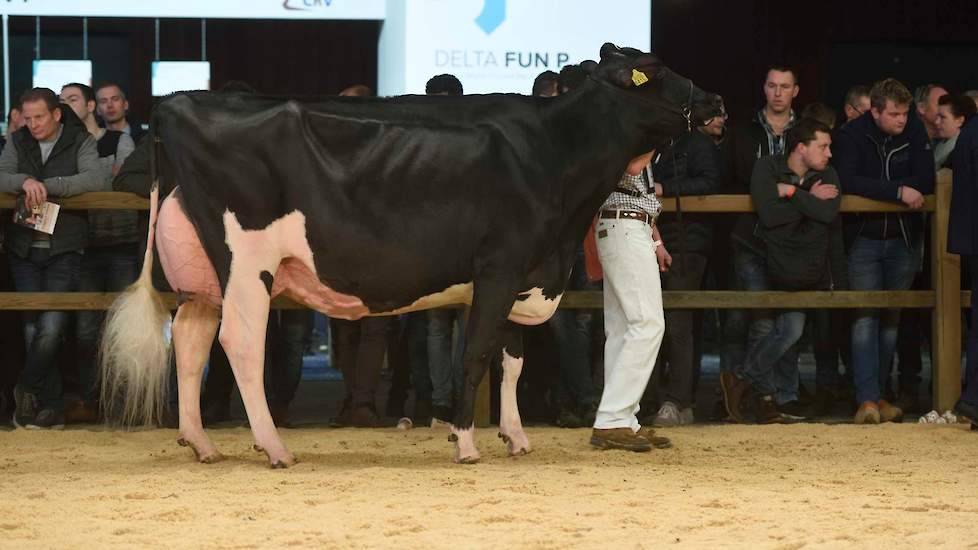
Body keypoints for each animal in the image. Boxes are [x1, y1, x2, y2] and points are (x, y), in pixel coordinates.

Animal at [99, 43, 720, 468]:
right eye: (654, 72)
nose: (715, 100)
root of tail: (177, 103)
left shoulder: (521, 272)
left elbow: (512, 360)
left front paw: (515, 437)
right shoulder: (499, 267)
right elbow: (475, 355)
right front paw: (465, 442)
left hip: (205, 271)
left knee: (190, 339)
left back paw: (201, 443)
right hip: (247, 259)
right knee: (240, 344)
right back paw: (274, 446)